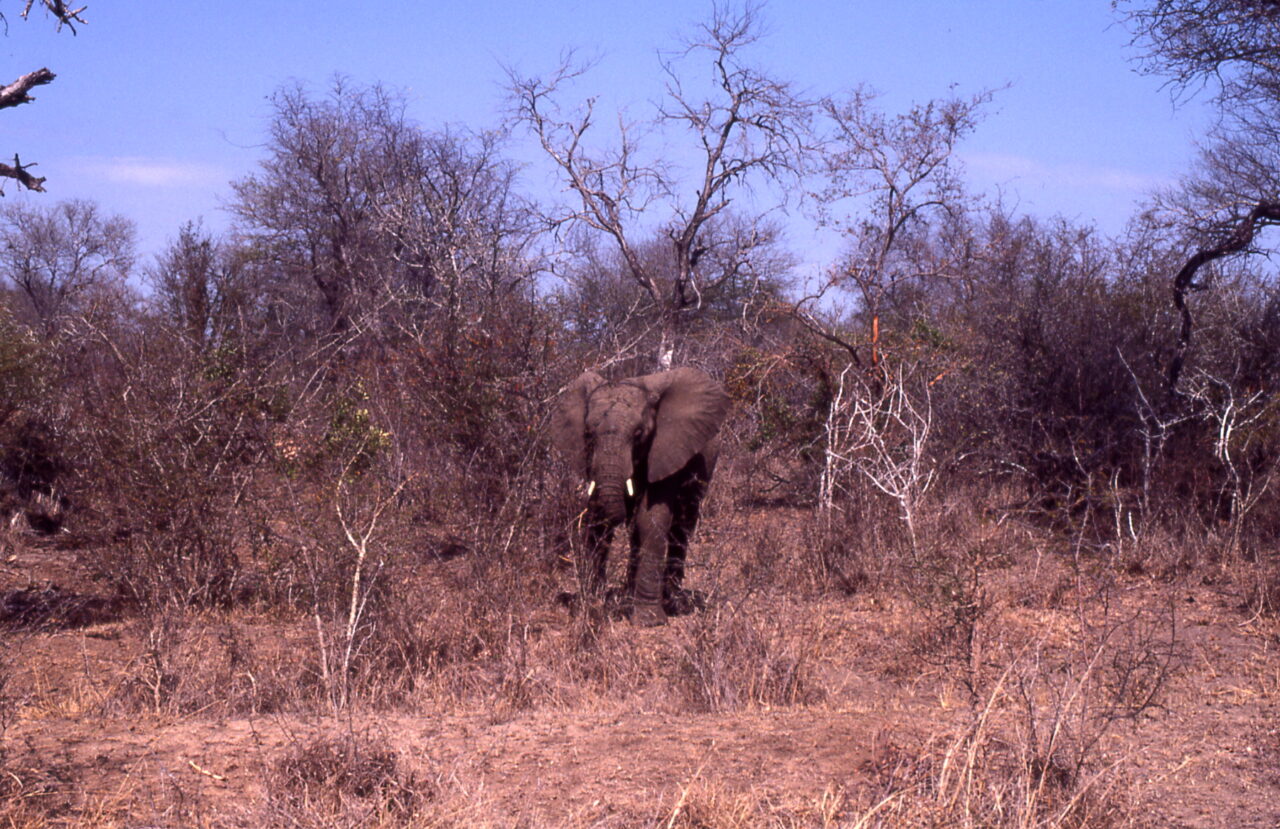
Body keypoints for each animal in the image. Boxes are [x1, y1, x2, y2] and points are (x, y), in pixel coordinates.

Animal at [551, 367, 731, 626]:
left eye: (638, 434)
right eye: (587, 433)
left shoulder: (667, 449)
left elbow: (650, 519)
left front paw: (648, 621)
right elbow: (598, 518)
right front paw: (590, 603)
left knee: (682, 525)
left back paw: (673, 601)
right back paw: (629, 595)